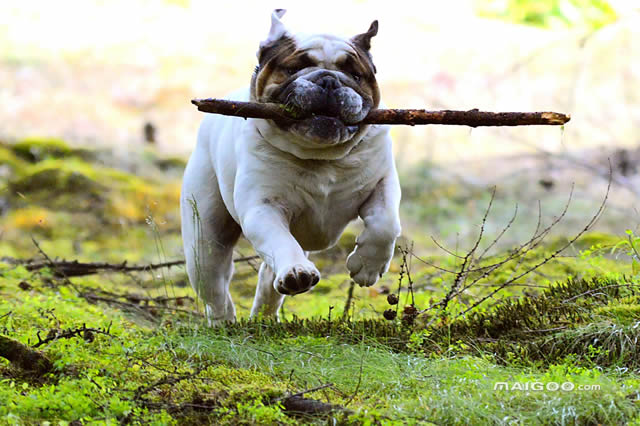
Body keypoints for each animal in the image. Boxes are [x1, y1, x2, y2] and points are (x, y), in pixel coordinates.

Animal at [180, 10, 400, 322]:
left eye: (356, 75)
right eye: (294, 68)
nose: (329, 81)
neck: (321, 157)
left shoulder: (382, 183)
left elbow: (385, 223)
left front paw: (367, 266)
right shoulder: (262, 208)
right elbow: (279, 240)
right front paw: (298, 272)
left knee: (268, 274)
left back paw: (264, 316)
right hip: (204, 238)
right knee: (215, 286)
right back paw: (226, 320)